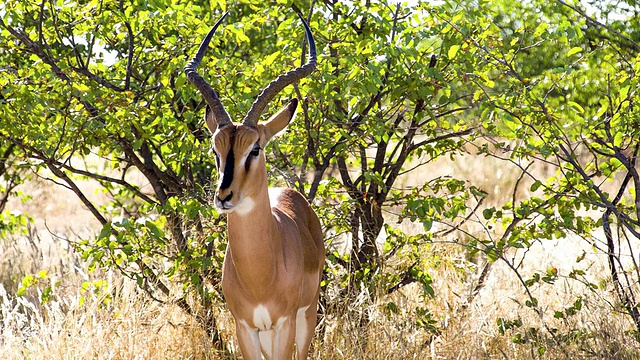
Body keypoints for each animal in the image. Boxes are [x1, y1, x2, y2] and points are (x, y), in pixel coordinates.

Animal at [184, 11, 324, 360]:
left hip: (307, 316)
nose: (224, 196)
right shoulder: (245, 328)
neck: (260, 276)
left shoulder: (284, 325)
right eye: (215, 149)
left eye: (255, 149)